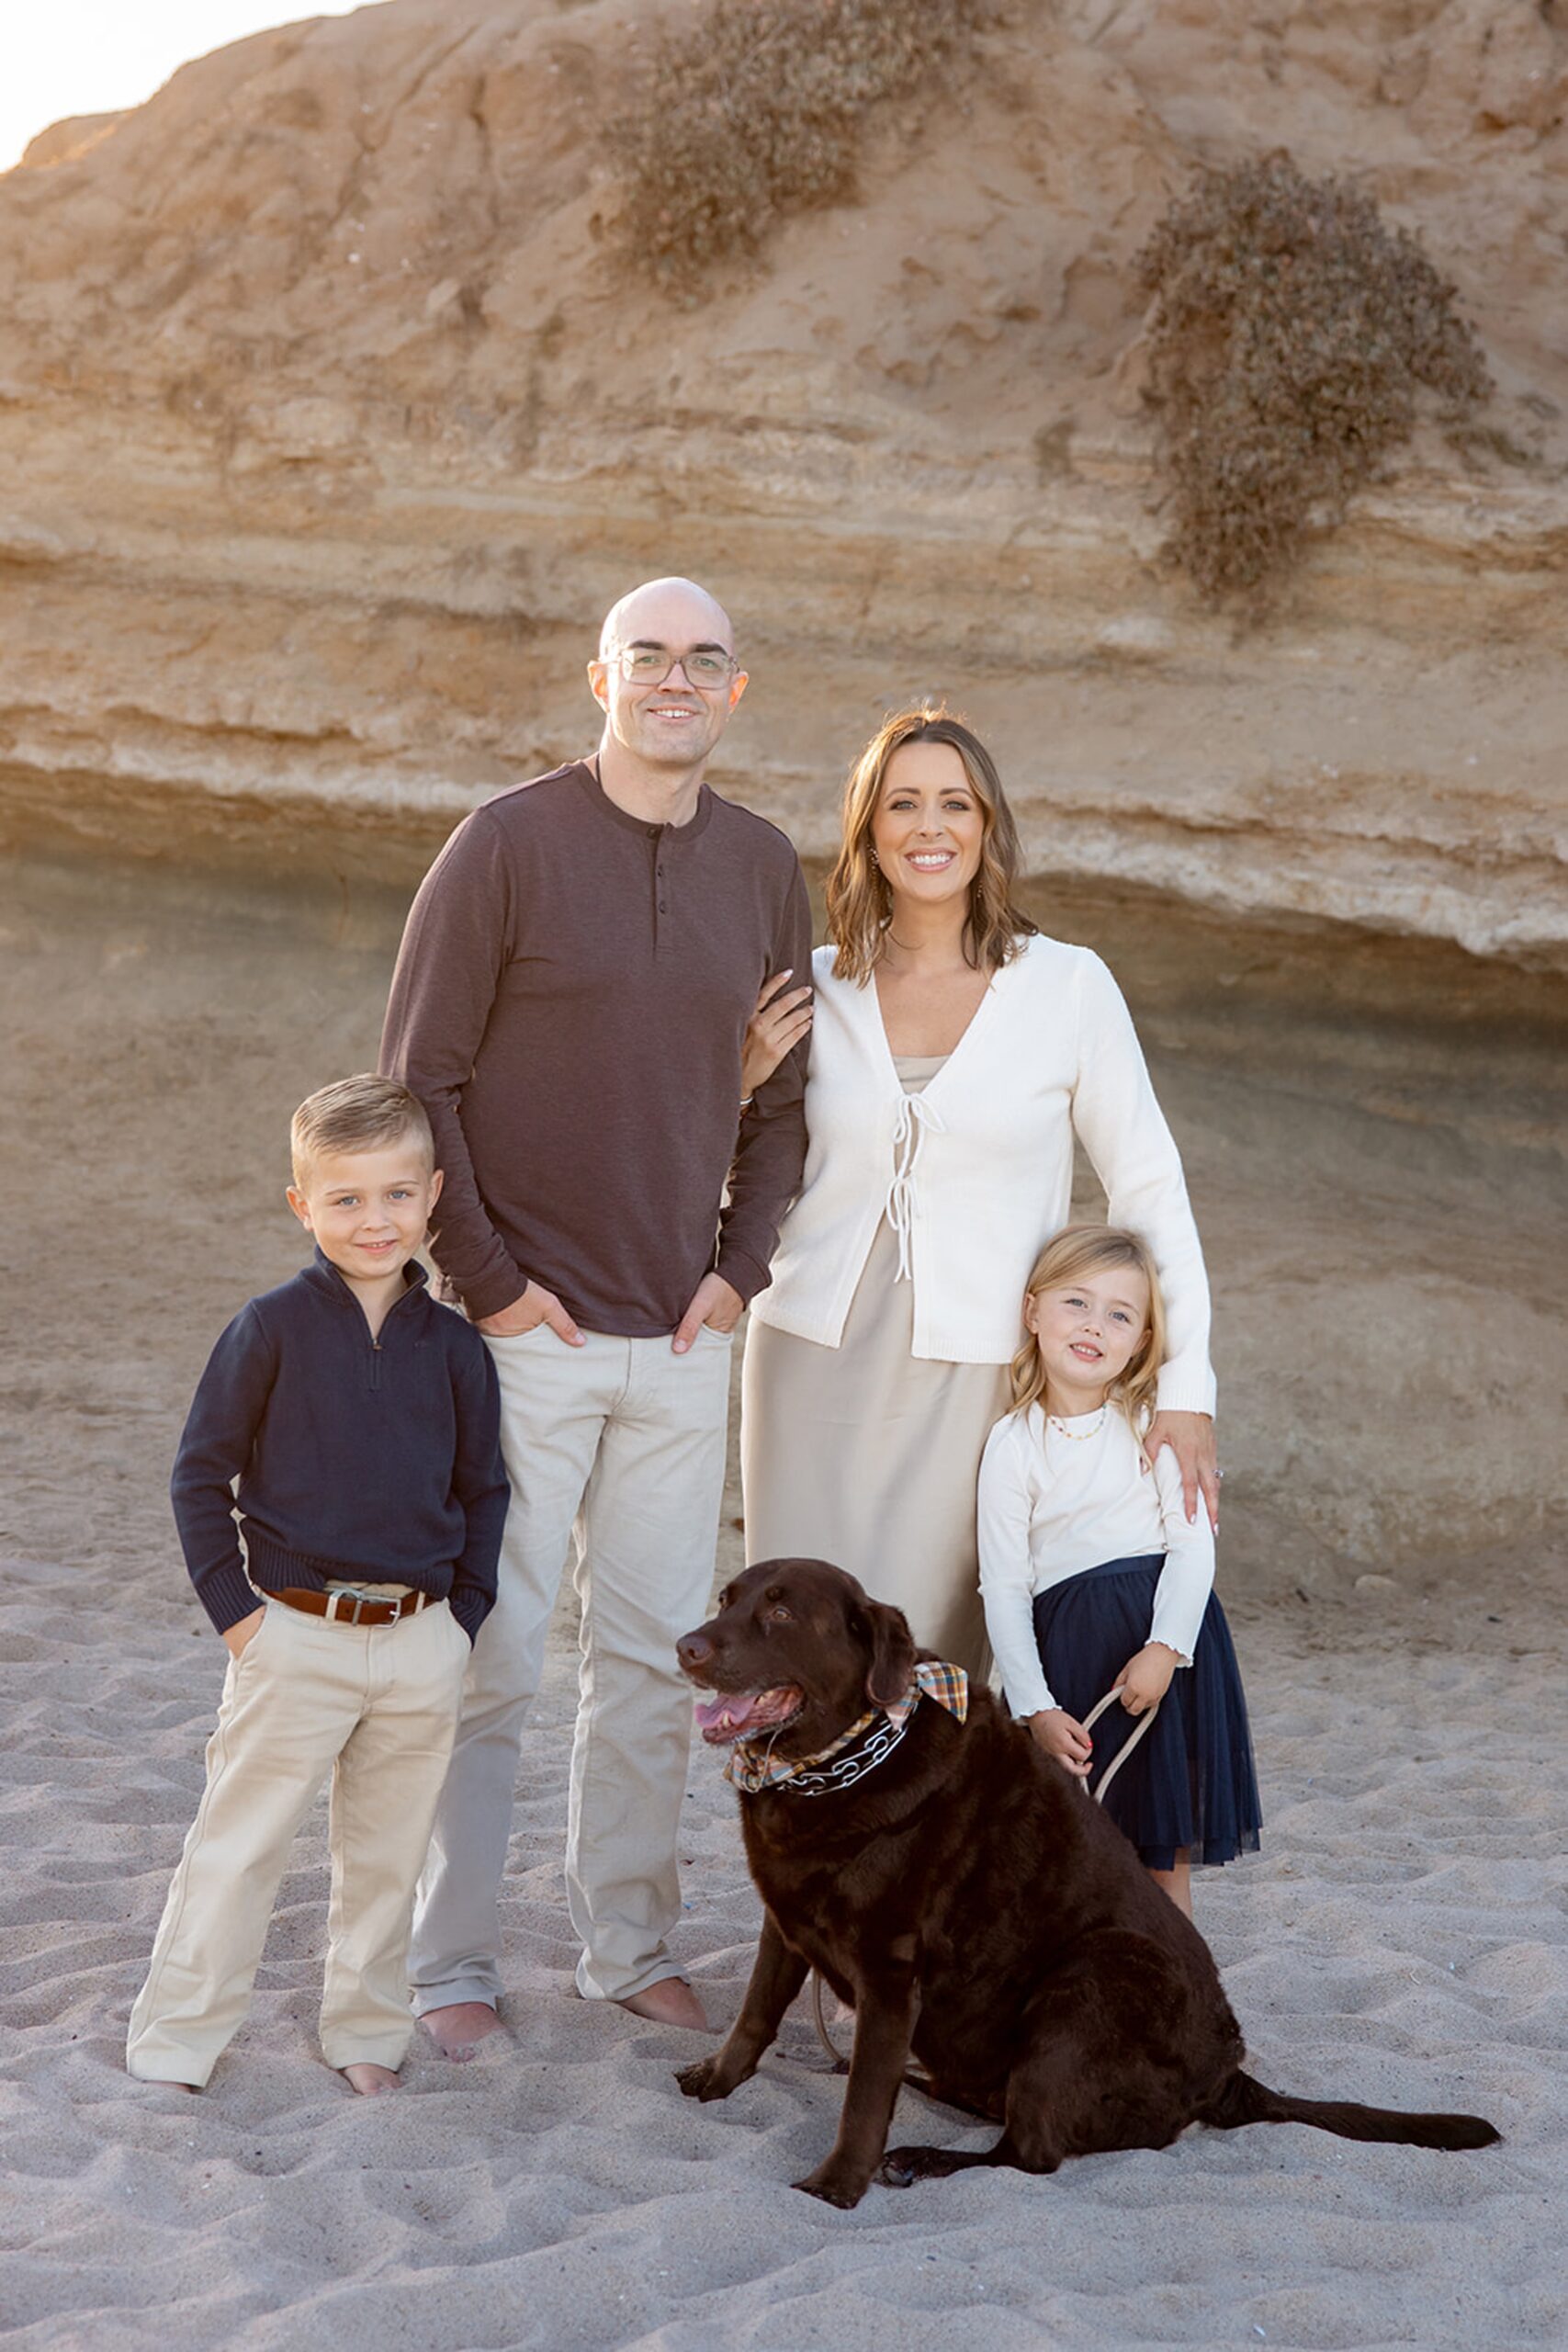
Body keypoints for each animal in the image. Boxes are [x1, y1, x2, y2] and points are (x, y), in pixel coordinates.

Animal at [671, 1561, 1495, 2201]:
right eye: (727, 1597)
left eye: (780, 1610)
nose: (685, 1645)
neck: (837, 1762)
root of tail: (1225, 2076)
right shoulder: (785, 1920)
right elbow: (755, 2011)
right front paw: (718, 2077)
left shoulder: (890, 1966)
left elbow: (863, 2099)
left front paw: (836, 2183)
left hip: (1096, 1974)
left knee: (1028, 2153)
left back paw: (926, 2154)